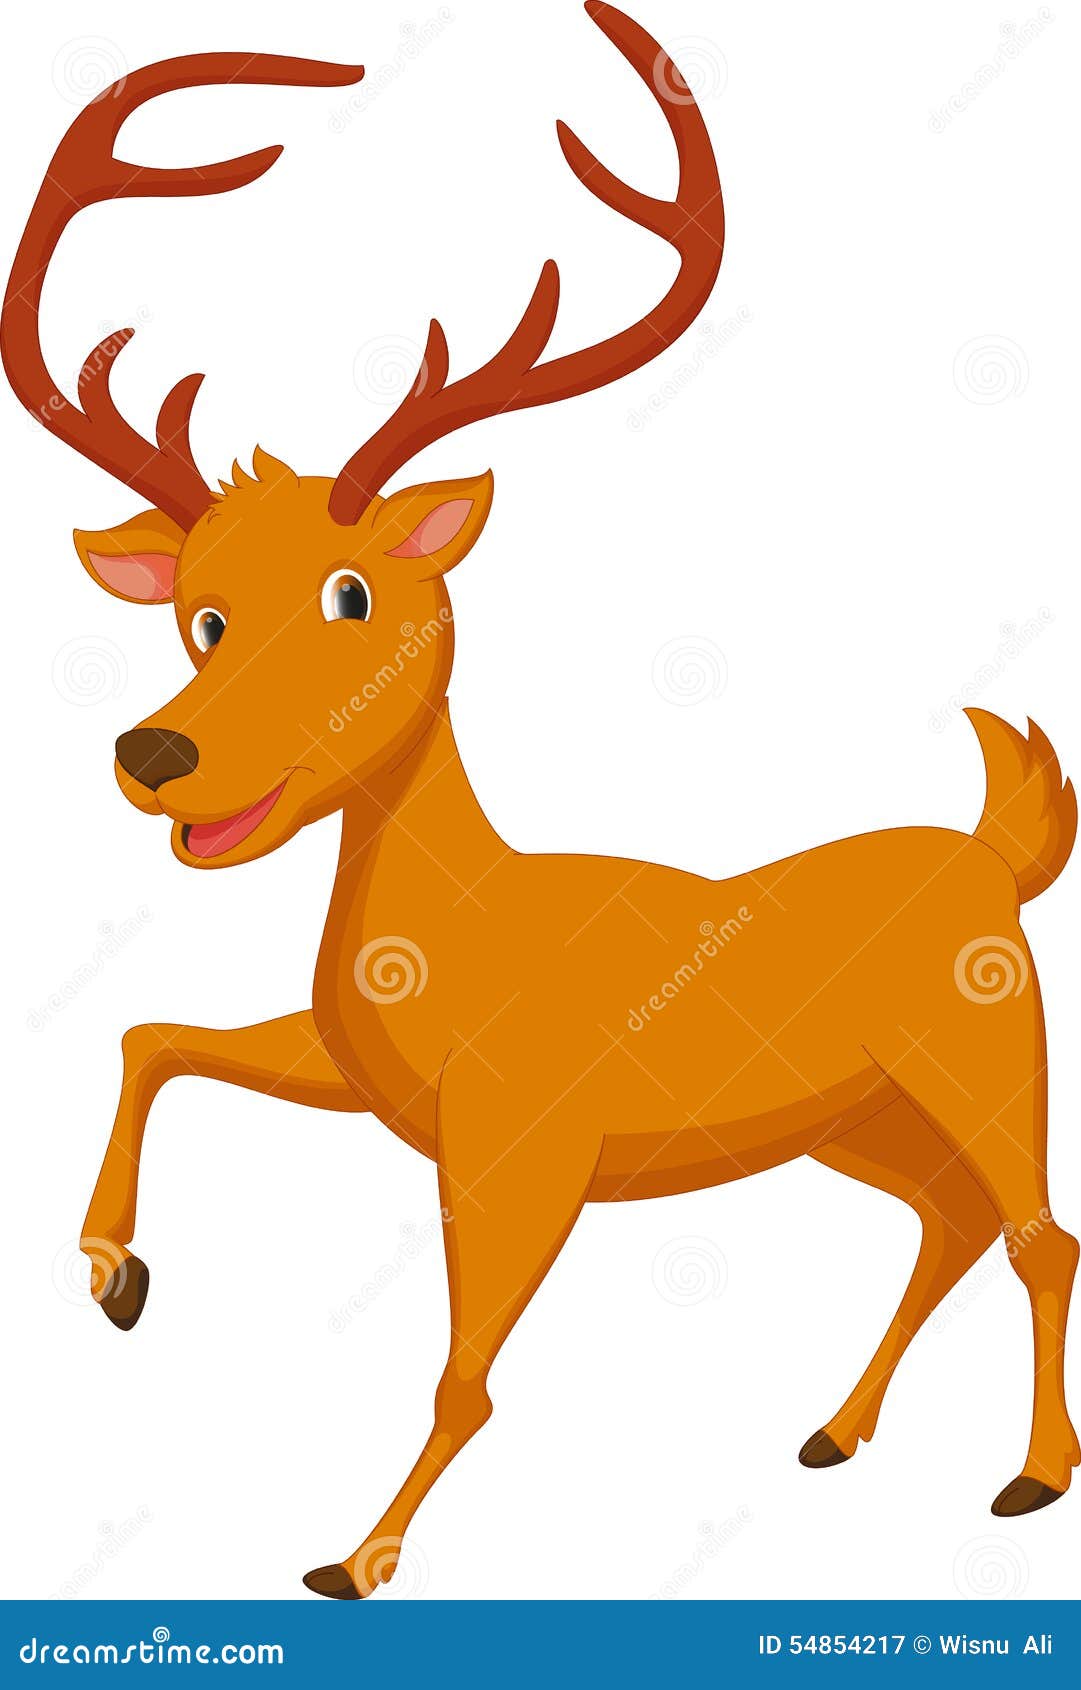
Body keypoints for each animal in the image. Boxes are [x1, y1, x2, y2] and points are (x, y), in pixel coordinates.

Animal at [4, 3, 1078, 1601]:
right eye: (198, 612)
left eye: (353, 593)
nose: (155, 752)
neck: (454, 949)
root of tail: (999, 853)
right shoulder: (361, 1071)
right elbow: (153, 1035)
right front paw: (113, 1273)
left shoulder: (529, 1146)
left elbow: (469, 1375)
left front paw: (356, 1555)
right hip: (853, 1119)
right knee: (941, 1222)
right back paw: (832, 1432)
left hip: (992, 1057)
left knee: (1035, 1231)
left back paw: (1028, 1475)